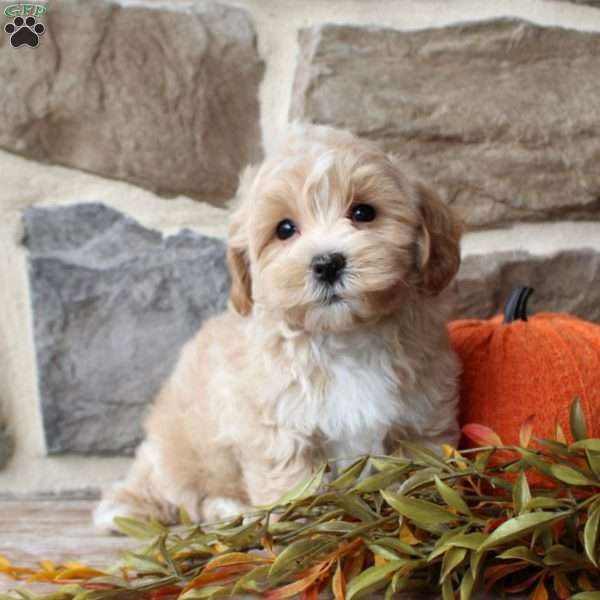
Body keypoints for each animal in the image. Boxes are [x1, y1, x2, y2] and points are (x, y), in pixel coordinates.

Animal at [94, 123, 462, 528]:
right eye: (284, 229)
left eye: (364, 212)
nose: (327, 263)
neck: (342, 336)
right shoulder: (278, 428)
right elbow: (293, 489)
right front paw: (303, 530)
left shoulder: (420, 416)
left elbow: (416, 475)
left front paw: (420, 514)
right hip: (184, 452)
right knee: (189, 496)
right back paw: (221, 509)